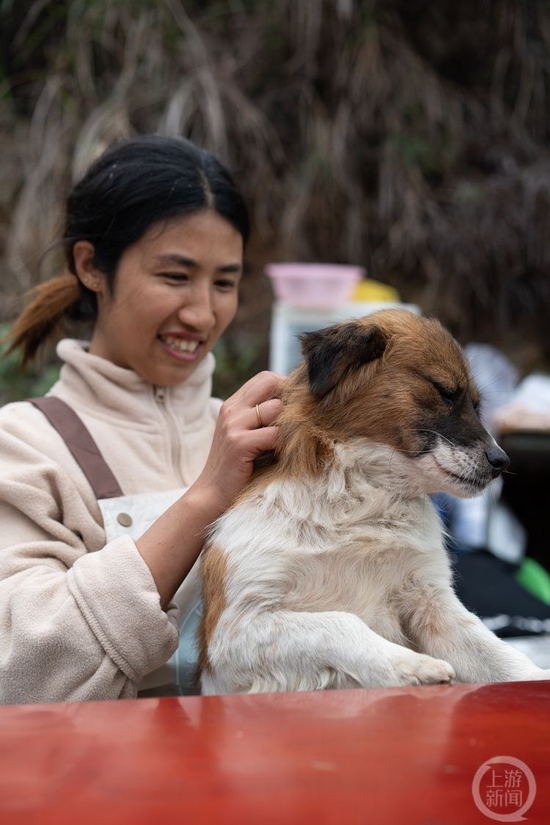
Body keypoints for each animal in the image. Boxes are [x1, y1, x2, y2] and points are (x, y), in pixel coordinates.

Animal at [198, 306, 550, 692]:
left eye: (476, 404)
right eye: (444, 391)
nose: (502, 462)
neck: (364, 498)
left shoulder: (431, 600)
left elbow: (500, 656)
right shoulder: (234, 630)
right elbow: (340, 622)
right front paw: (411, 665)